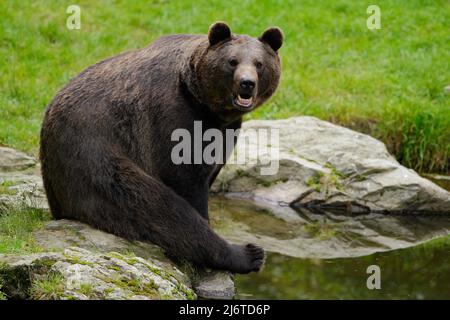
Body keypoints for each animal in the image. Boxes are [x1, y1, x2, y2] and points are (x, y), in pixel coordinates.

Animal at [40, 21, 284, 272]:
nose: (247, 84)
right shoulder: (171, 116)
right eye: (232, 61)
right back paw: (248, 254)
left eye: (259, 63)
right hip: (95, 155)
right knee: (155, 207)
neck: (205, 105)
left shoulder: (224, 130)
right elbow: (184, 177)